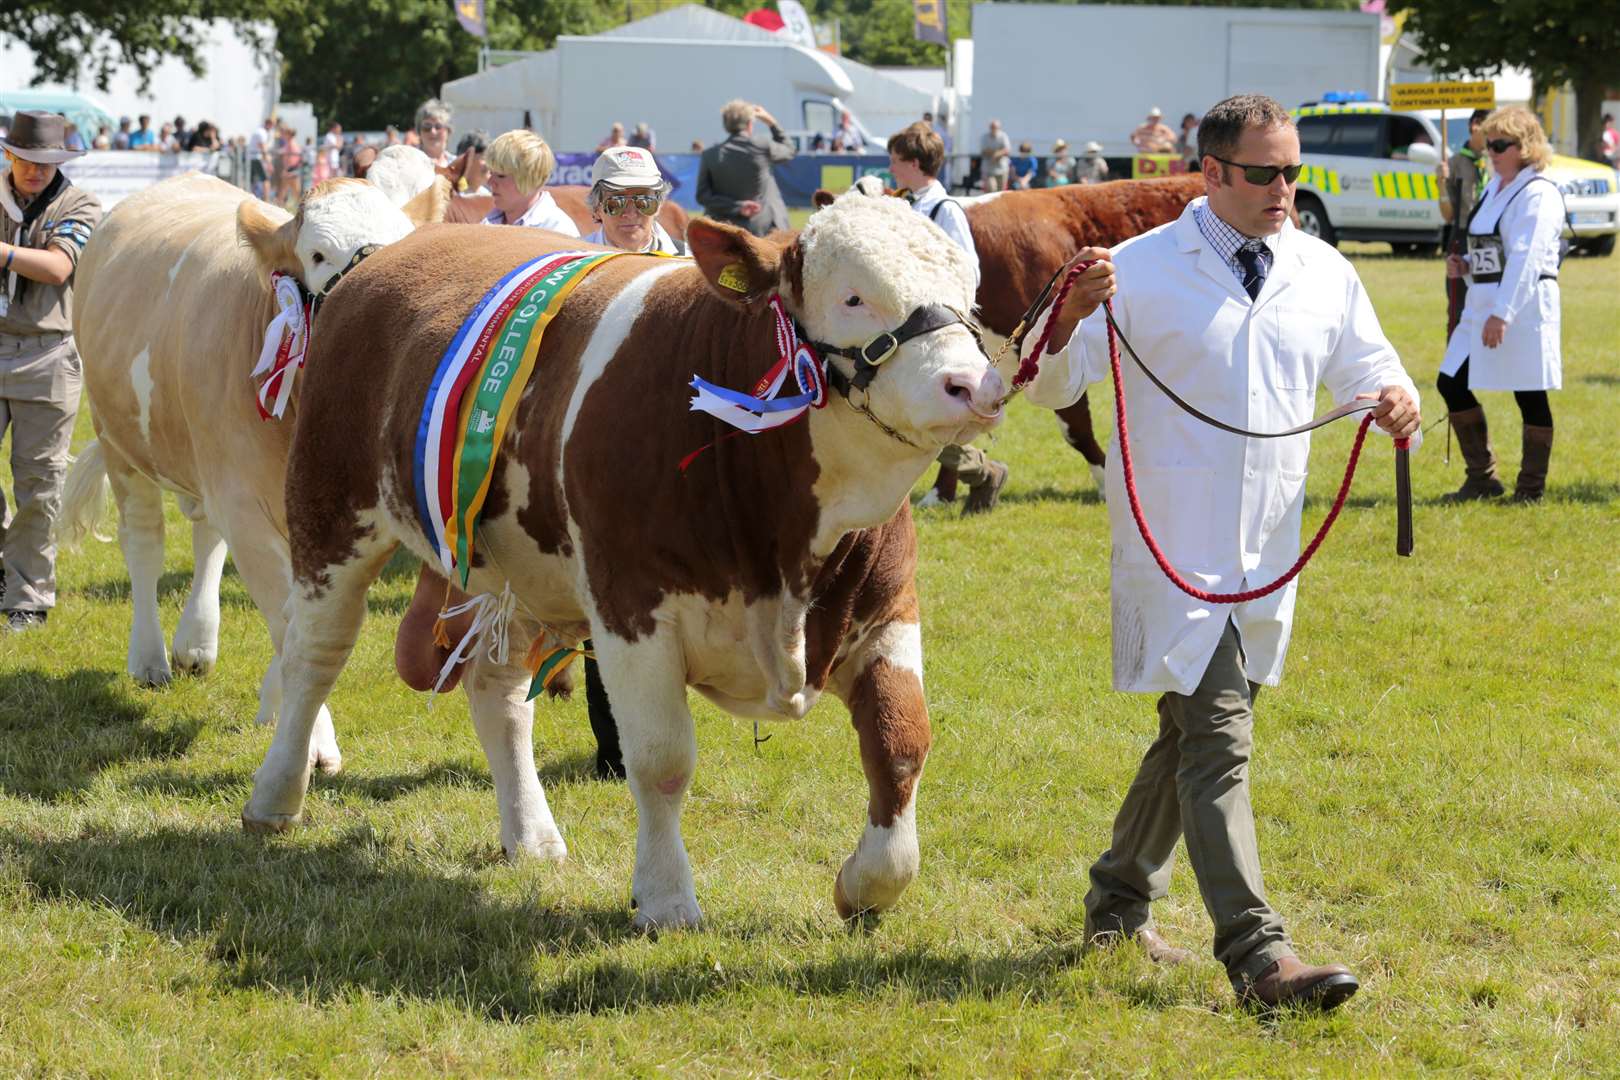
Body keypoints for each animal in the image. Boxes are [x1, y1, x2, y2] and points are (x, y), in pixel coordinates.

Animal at [63, 173, 447, 773]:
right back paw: (149, 658)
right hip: (118, 439)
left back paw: (196, 644)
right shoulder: (244, 502)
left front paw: (278, 706)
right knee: (145, 543)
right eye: (317, 254)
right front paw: (313, 743)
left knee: (206, 539)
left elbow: (296, 615)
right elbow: (291, 623)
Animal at [241, 187, 1004, 932]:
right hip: (329, 508)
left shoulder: (885, 607)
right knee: (313, 658)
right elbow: (663, 761)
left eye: (970, 295)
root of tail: (384, 257)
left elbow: (901, 741)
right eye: (852, 297)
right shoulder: (631, 606)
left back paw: (531, 835)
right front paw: (665, 898)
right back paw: (275, 798)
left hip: (518, 573)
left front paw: (868, 884)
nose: (974, 386)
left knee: (497, 692)